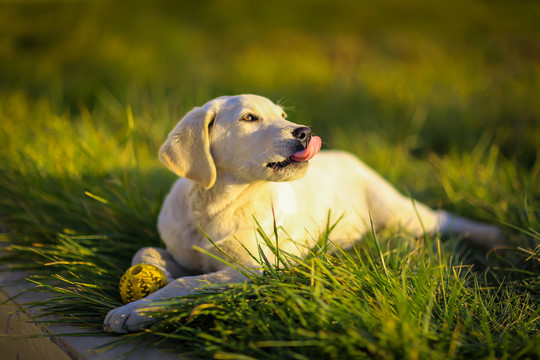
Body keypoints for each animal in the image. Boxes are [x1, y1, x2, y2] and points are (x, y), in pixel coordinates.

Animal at [104, 94, 502, 334]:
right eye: (249, 118)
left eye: (282, 116)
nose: (305, 132)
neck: (215, 205)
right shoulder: (186, 249)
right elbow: (146, 253)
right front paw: (150, 281)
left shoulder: (253, 271)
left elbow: (189, 284)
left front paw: (135, 311)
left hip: (398, 210)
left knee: (441, 219)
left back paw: (493, 236)